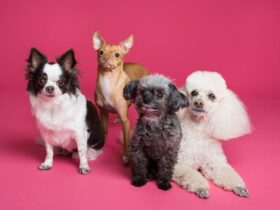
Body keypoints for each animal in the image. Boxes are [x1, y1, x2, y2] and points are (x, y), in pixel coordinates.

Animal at [92, 31, 149, 164]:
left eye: (117, 55)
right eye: (101, 52)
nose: (106, 58)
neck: (108, 80)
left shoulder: (126, 122)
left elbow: (126, 141)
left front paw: (126, 156)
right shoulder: (103, 112)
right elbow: (105, 130)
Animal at [173, 71, 252, 199]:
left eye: (211, 96)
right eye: (194, 92)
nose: (198, 102)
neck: (199, 129)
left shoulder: (214, 161)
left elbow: (227, 172)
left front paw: (238, 186)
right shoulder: (180, 162)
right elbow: (190, 174)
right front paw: (201, 187)